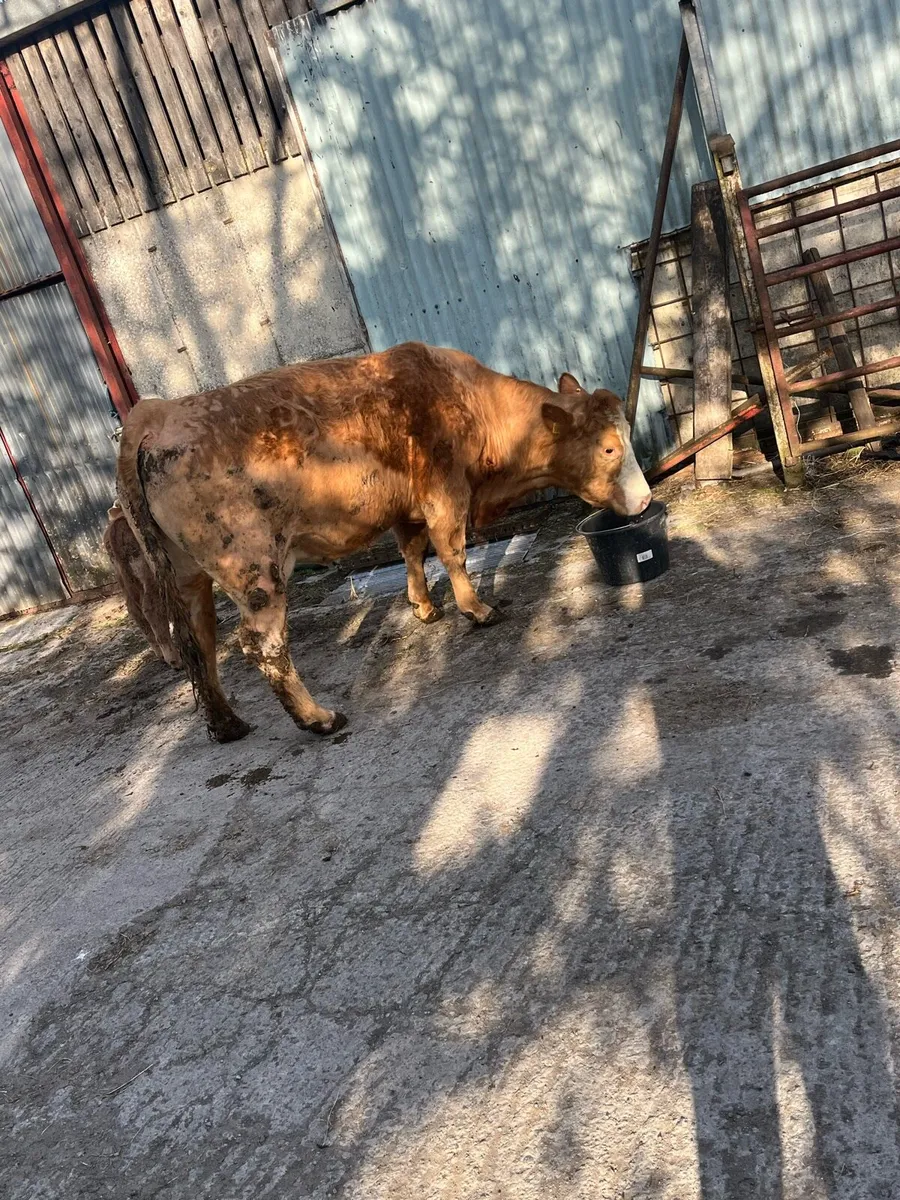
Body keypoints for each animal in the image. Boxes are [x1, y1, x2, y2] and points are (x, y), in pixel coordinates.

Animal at [116, 342, 651, 744]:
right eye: (608, 448)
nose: (646, 498)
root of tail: (159, 413)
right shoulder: (444, 492)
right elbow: (452, 550)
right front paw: (476, 609)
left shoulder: (406, 507)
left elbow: (413, 550)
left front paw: (424, 606)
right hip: (255, 568)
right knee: (262, 645)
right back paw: (318, 718)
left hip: (189, 576)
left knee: (199, 643)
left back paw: (227, 724)